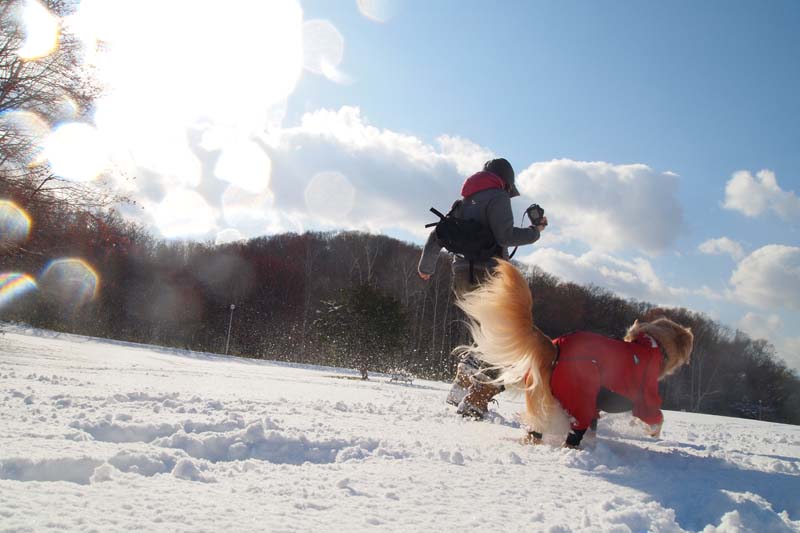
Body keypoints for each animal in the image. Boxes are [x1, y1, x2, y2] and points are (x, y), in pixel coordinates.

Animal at [456, 260, 692, 446]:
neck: (650, 344)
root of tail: (557, 348)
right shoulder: (645, 395)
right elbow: (656, 416)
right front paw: (654, 433)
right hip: (580, 402)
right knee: (572, 436)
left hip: (544, 397)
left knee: (534, 429)